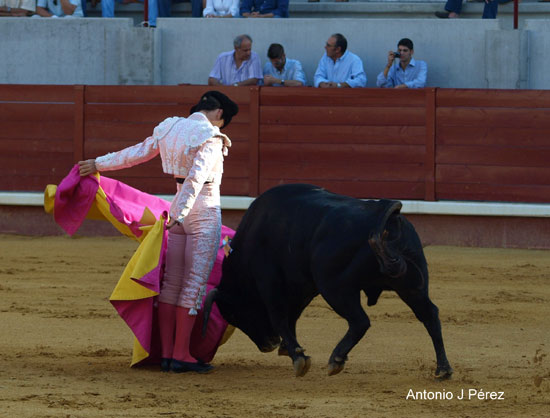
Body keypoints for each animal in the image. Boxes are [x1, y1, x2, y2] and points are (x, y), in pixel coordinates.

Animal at [205, 184, 454, 378]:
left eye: (234, 314)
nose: (269, 344)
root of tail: (381, 212)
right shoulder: (304, 286)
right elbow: (293, 315)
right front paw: (289, 348)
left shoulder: (270, 282)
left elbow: (280, 317)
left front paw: (297, 356)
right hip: (412, 286)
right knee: (430, 315)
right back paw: (443, 369)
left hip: (336, 288)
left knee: (360, 321)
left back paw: (336, 359)